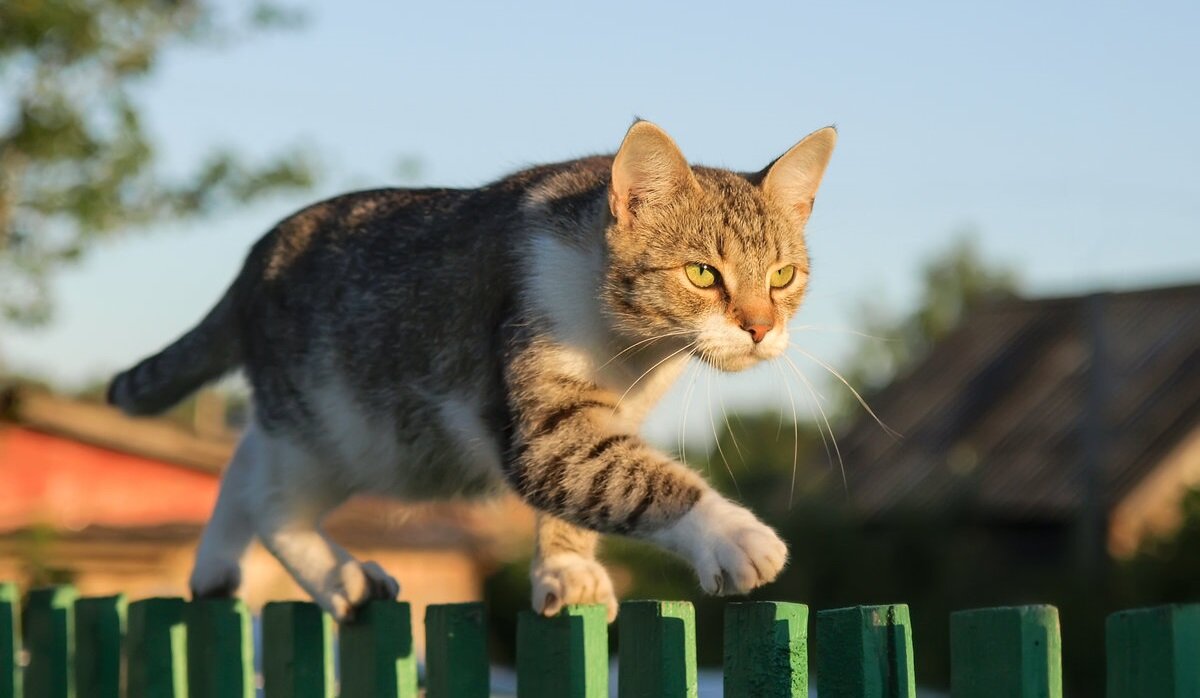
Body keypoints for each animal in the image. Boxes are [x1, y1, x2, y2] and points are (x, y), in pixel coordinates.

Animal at [108, 120, 835, 623]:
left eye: (782, 276)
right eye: (702, 273)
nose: (759, 327)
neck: (631, 349)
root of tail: (256, 257)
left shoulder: (613, 410)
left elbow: (595, 480)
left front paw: (565, 569)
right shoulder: (542, 417)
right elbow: (626, 474)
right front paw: (732, 535)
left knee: (245, 459)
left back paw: (214, 566)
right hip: (340, 425)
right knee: (270, 499)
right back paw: (340, 575)